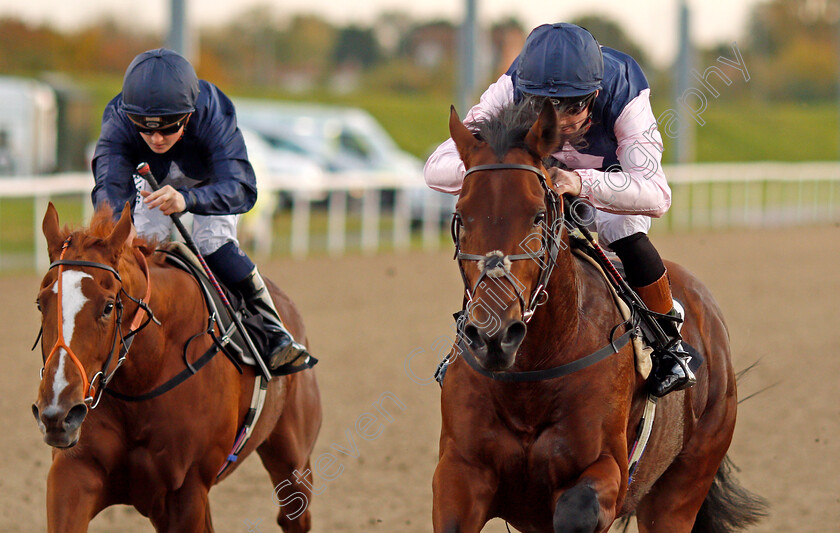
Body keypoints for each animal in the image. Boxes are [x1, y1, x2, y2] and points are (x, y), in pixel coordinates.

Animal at [32, 202, 322, 528]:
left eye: (108, 307)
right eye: (41, 303)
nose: (58, 412)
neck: (143, 381)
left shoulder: (186, 492)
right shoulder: (74, 473)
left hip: (293, 461)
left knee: (293, 514)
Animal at [434, 102, 768, 528]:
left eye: (538, 216)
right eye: (462, 216)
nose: (494, 336)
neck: (531, 373)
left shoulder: (607, 469)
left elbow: (579, 507)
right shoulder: (461, 470)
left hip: (683, 484)